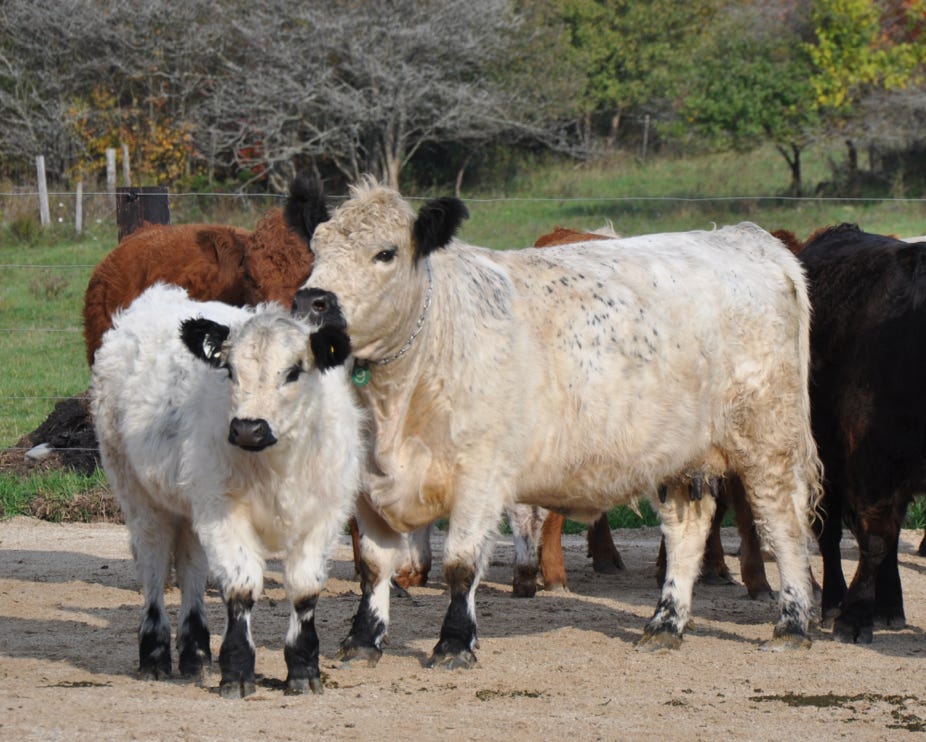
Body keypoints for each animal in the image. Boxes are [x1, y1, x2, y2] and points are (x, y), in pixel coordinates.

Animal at [91, 283, 363, 697]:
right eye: (230, 370)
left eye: (294, 372)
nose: (249, 428)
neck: (278, 463)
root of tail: (157, 297)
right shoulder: (224, 511)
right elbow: (240, 586)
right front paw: (236, 671)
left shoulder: (324, 516)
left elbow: (304, 590)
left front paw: (303, 669)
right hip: (140, 496)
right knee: (154, 565)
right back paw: (155, 656)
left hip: (190, 504)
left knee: (191, 568)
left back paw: (195, 655)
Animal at [290, 177, 821, 668]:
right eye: (315, 247)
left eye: (385, 253)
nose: (312, 301)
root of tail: (747, 238)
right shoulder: (368, 480)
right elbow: (373, 565)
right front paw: (363, 639)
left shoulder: (481, 476)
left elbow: (461, 564)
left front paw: (455, 642)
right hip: (678, 455)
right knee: (686, 529)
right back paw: (665, 623)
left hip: (769, 439)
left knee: (784, 523)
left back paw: (793, 623)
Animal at [800, 223, 926, 642]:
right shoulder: (875, 462)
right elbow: (874, 539)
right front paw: (854, 616)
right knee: (830, 533)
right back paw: (833, 601)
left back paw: (889, 606)